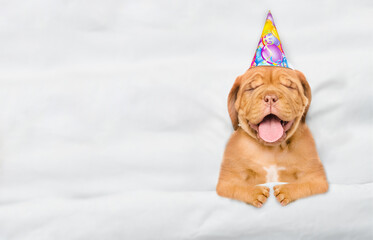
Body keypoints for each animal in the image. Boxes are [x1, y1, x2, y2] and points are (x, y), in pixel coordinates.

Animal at [217, 66, 326, 208]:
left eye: (288, 86)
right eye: (251, 88)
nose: (270, 97)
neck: (272, 149)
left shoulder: (317, 178)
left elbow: (305, 185)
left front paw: (286, 190)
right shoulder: (227, 181)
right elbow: (237, 187)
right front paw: (255, 193)